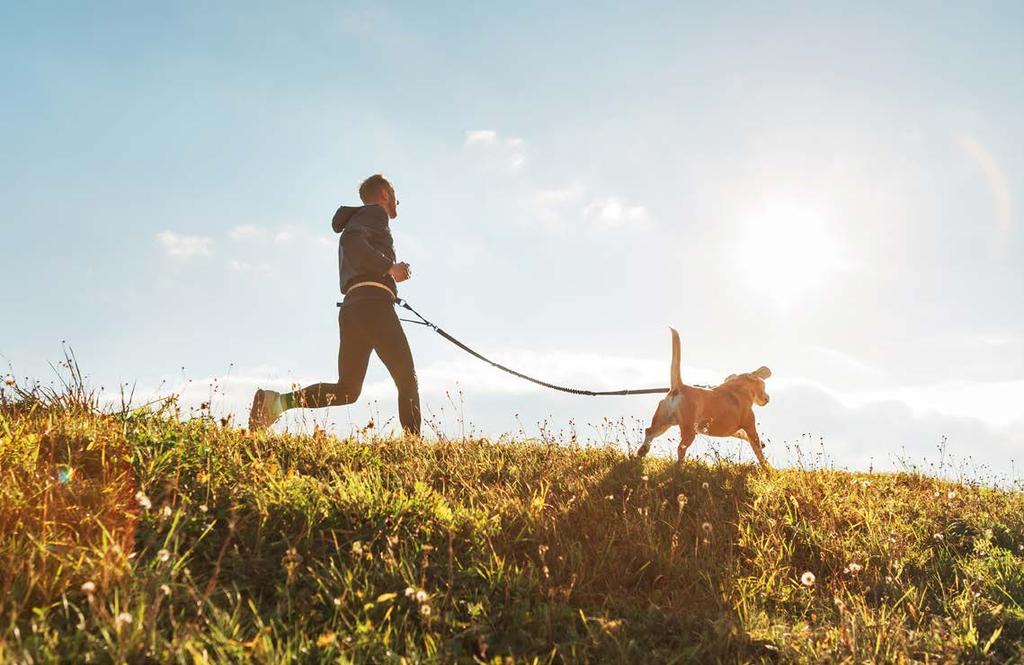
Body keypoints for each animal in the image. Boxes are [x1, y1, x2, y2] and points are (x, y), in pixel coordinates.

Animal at [634, 327, 770, 467]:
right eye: (764, 385)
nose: (768, 398)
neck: (738, 388)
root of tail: (679, 386)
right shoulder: (750, 427)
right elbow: (758, 451)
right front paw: (766, 468)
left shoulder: (735, 430)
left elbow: (743, 435)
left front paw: (763, 445)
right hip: (688, 430)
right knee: (681, 448)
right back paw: (679, 467)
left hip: (664, 422)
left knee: (649, 432)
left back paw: (642, 452)